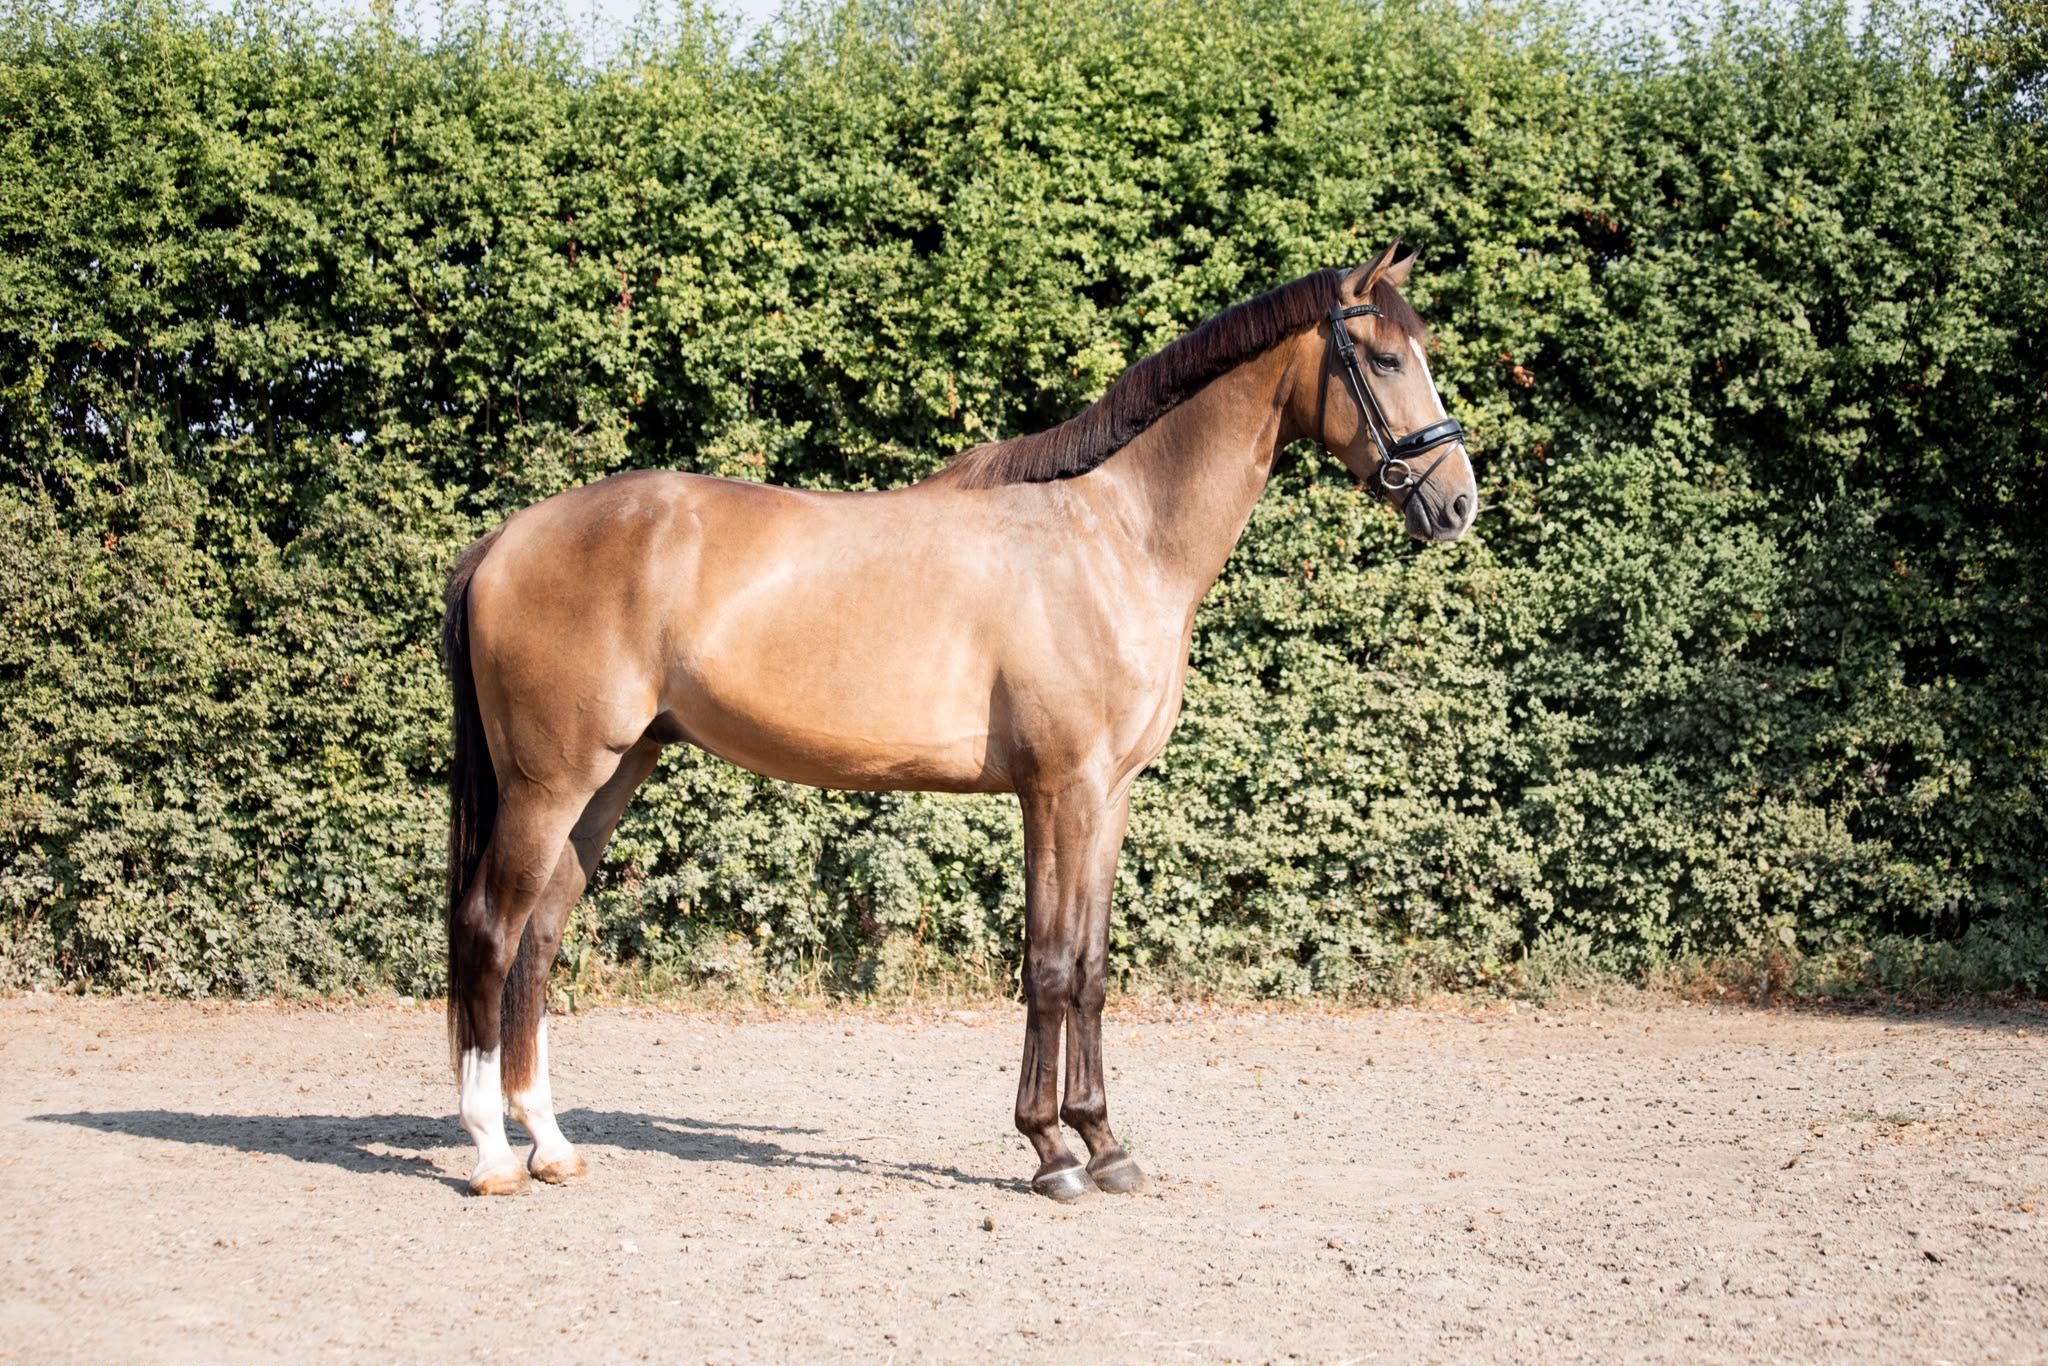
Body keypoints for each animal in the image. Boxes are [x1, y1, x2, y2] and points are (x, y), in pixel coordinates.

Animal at [441, 241, 1478, 1201]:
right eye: (1386, 357)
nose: (1458, 501)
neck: (1116, 537)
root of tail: (505, 539)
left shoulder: (1108, 797)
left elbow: (1091, 966)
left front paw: (1106, 1145)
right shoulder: (1058, 790)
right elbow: (1049, 964)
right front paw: (1053, 1152)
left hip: (612, 775)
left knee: (540, 937)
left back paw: (552, 1147)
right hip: (551, 782)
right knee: (491, 930)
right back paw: (492, 1155)